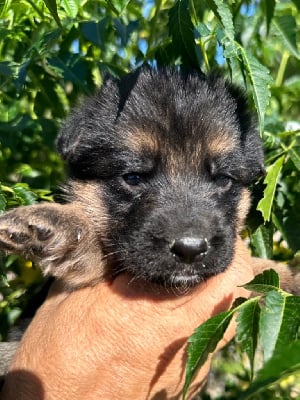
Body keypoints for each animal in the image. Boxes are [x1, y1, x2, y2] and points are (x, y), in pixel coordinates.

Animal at [0, 68, 296, 290]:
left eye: (223, 179)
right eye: (133, 177)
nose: (190, 249)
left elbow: (261, 269)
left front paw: (290, 275)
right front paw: (61, 224)